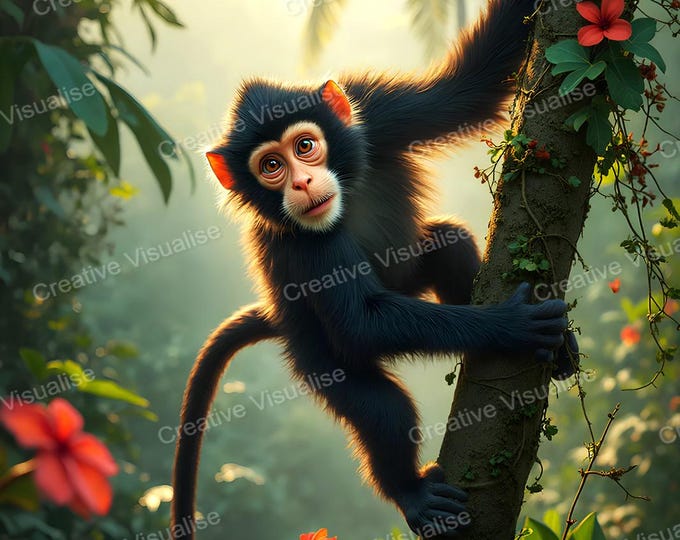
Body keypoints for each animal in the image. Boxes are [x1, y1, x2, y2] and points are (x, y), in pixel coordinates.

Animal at [172, 1, 577, 537]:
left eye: (304, 147)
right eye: (271, 166)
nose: (301, 183)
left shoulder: (378, 109)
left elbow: (473, 86)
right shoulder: (299, 246)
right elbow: (361, 323)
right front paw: (510, 325)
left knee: (449, 244)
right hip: (314, 357)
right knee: (381, 406)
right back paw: (411, 493)